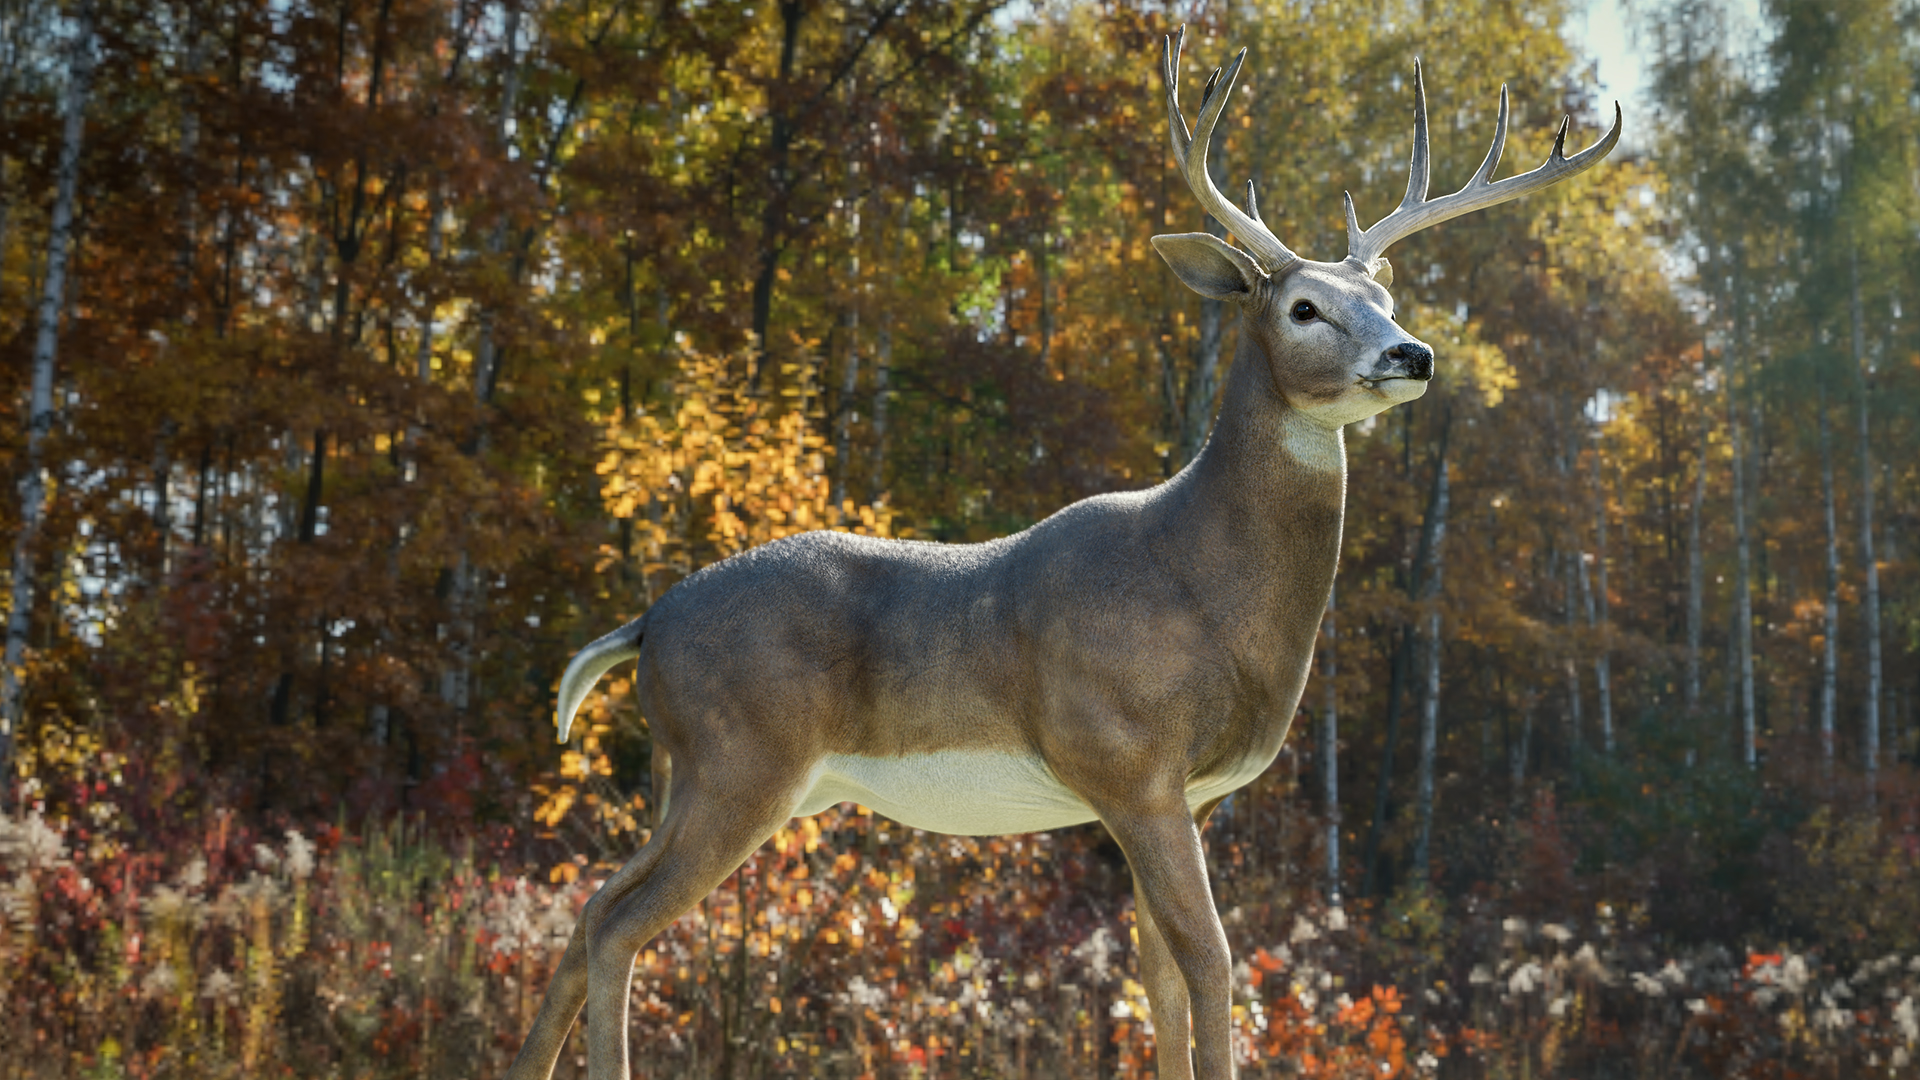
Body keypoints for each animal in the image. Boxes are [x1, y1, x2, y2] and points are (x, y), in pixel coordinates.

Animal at [505, 28, 1619, 1080]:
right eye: (1305, 307)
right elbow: (1209, 964)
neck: (1205, 589)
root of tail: (649, 620)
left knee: (593, 908)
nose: (1412, 354)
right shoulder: (1127, 758)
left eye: (1385, 299)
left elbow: (1158, 978)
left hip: (698, 771)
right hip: (739, 756)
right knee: (619, 923)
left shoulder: (1183, 793)